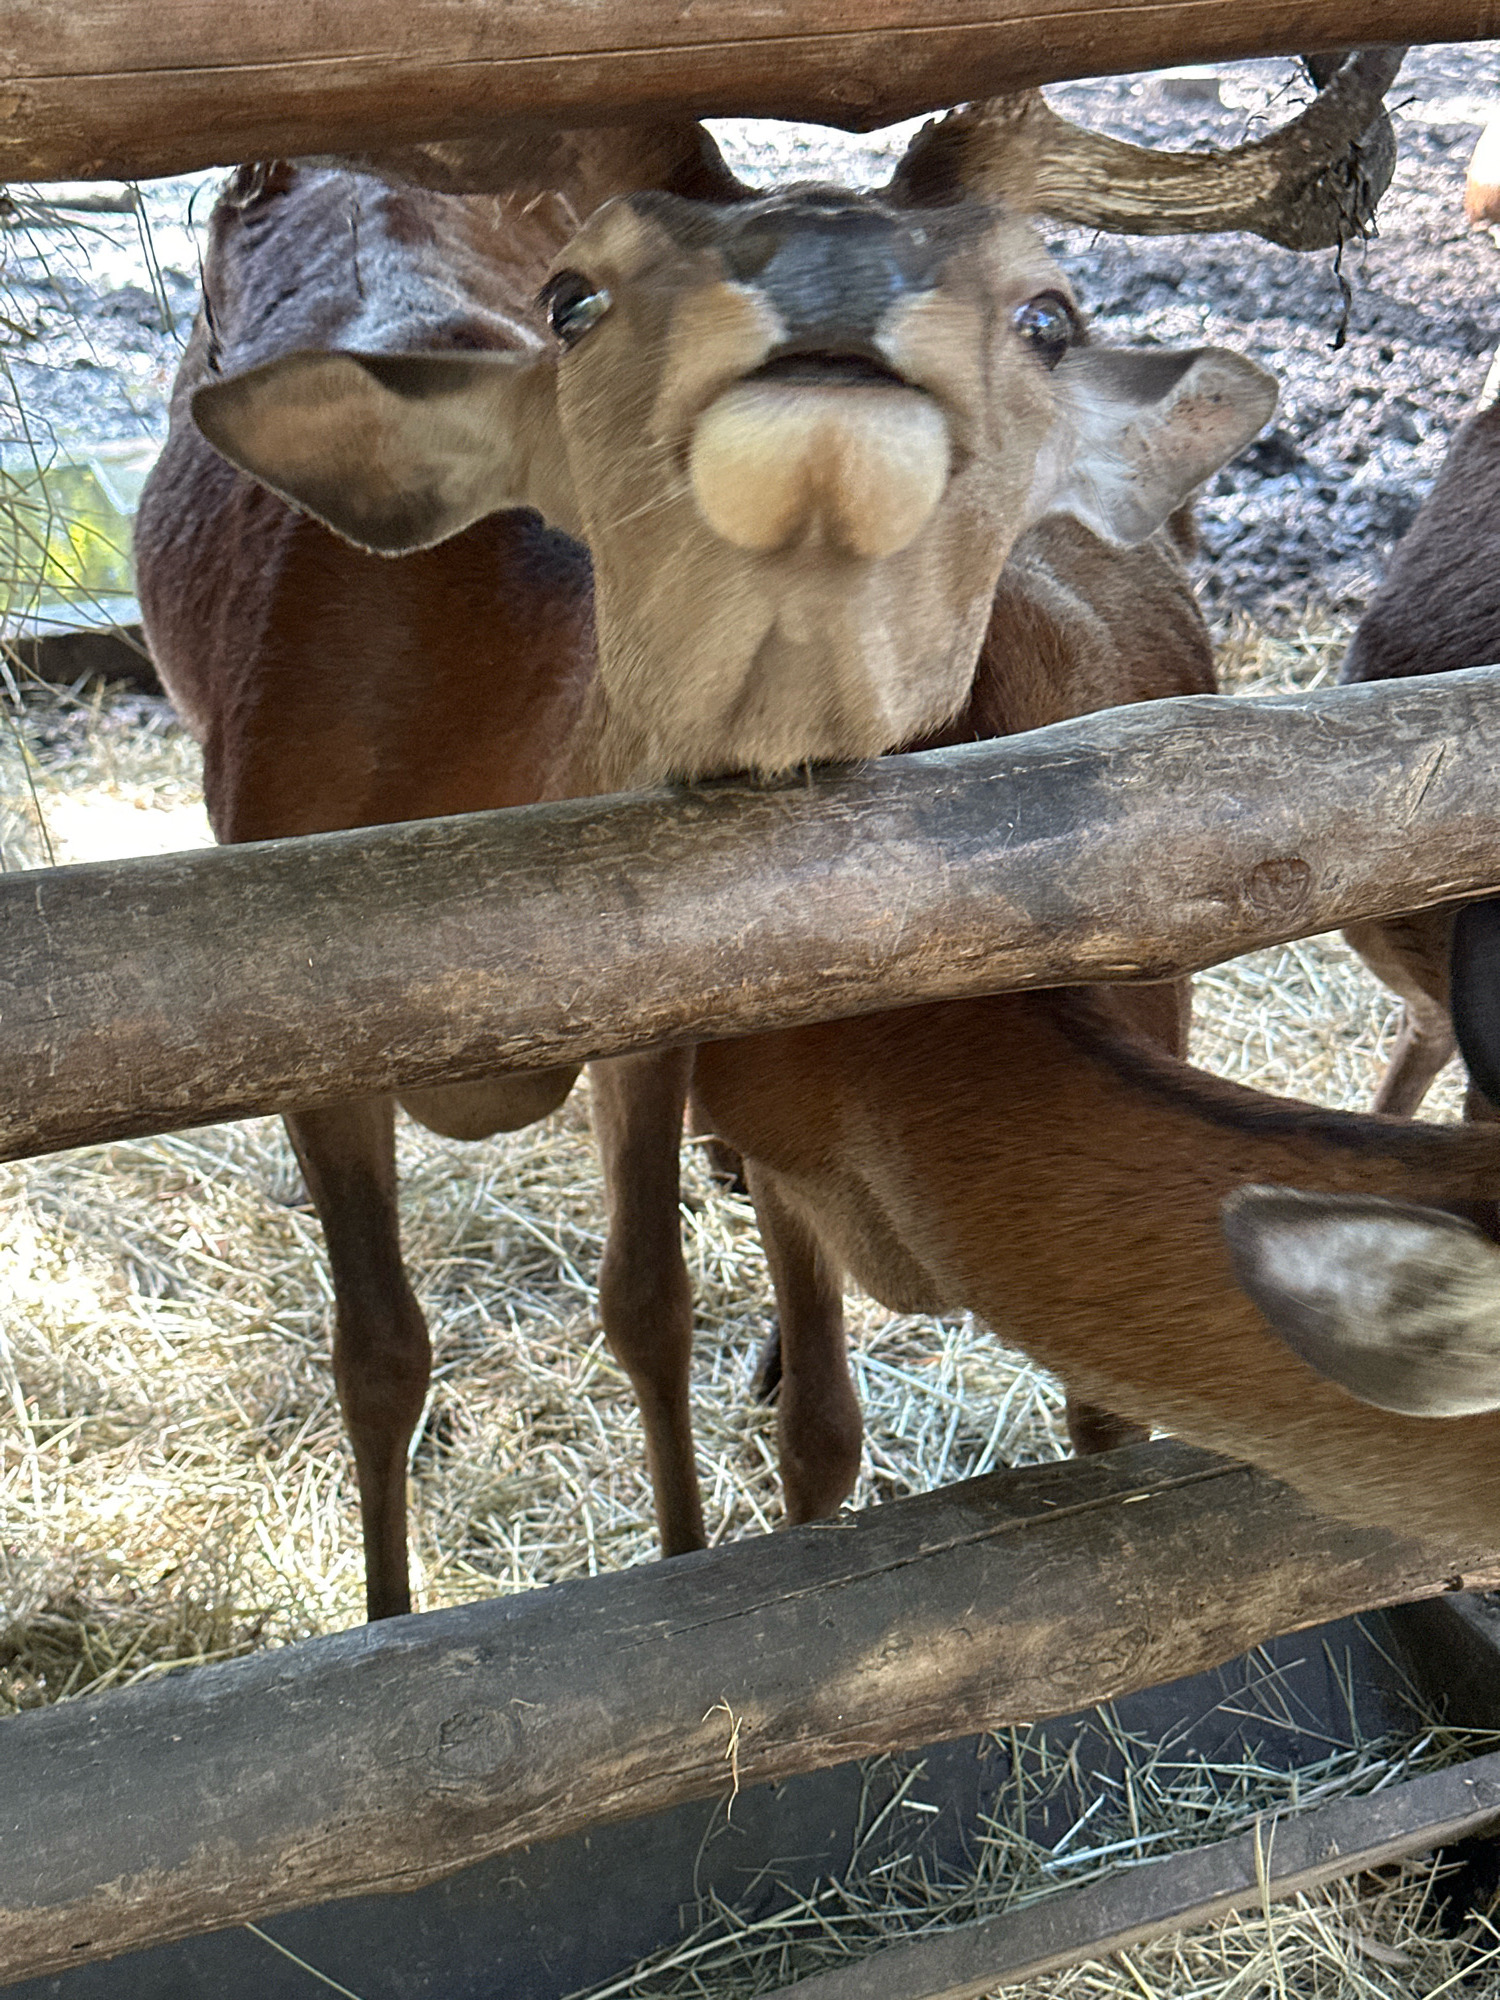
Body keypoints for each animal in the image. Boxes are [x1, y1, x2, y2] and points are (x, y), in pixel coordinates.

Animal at [136, 53, 1407, 1620]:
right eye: (574, 301)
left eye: (1049, 315)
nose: (831, 293)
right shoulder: (299, 1040)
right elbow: (381, 1354)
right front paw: (383, 1624)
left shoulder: (657, 1019)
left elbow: (656, 1306)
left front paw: (686, 1558)